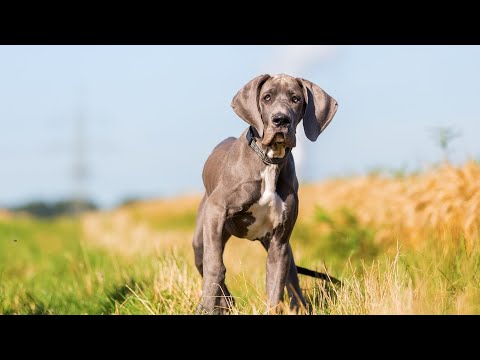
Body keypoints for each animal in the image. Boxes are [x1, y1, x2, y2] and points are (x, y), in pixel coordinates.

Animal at [191, 74, 338, 316]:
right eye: (267, 97)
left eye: (296, 99)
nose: (281, 120)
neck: (269, 160)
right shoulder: (216, 211)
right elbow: (216, 267)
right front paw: (207, 307)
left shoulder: (279, 240)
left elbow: (276, 282)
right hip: (202, 236)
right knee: (208, 262)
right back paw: (225, 304)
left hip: (278, 244)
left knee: (291, 276)